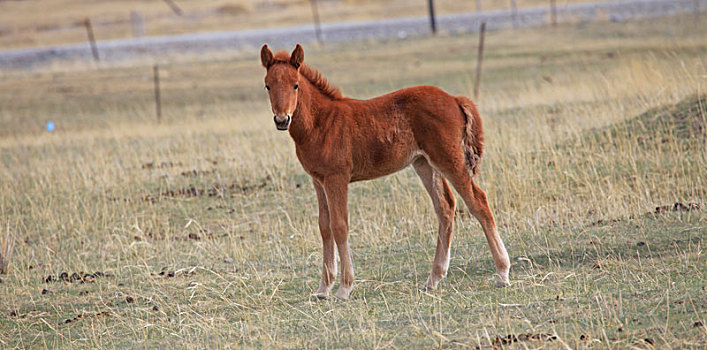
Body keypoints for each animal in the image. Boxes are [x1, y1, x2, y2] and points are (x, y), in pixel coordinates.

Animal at [260, 43, 508, 300]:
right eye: (267, 85)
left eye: (295, 85)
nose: (282, 119)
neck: (321, 122)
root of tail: (454, 99)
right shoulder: (318, 180)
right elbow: (324, 227)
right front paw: (323, 288)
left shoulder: (337, 178)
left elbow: (340, 226)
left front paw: (344, 287)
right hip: (424, 163)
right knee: (445, 207)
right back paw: (433, 278)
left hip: (449, 160)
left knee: (478, 201)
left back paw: (502, 273)